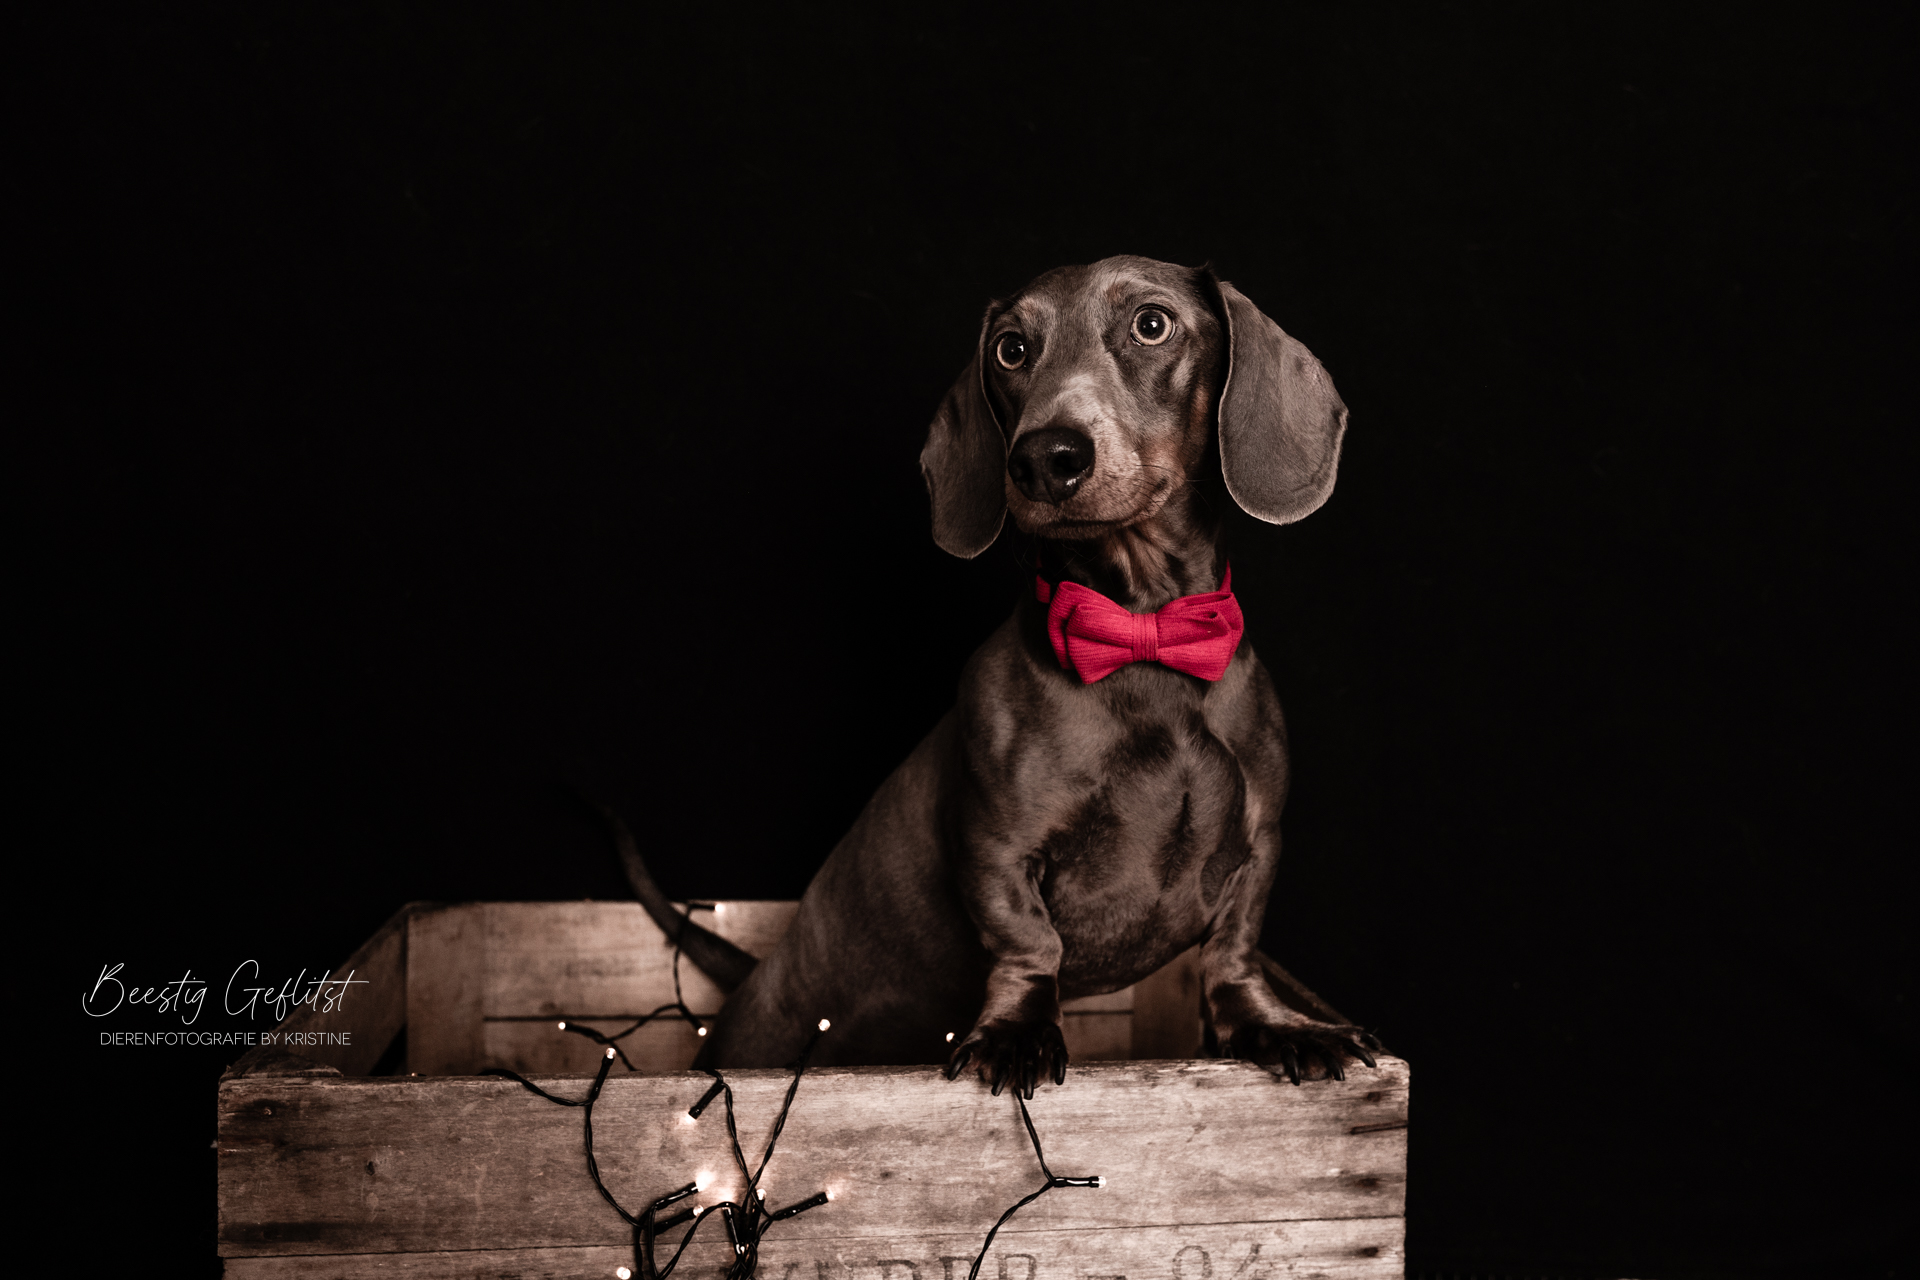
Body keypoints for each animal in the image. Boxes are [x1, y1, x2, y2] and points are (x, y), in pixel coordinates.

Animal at [617, 255, 1379, 1097]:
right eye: (1012, 349)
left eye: (1152, 324)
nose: (1046, 457)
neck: (1140, 637)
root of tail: (754, 976)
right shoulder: (999, 847)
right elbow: (1027, 942)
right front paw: (1017, 1031)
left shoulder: (1258, 844)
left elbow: (1234, 949)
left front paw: (1272, 1024)